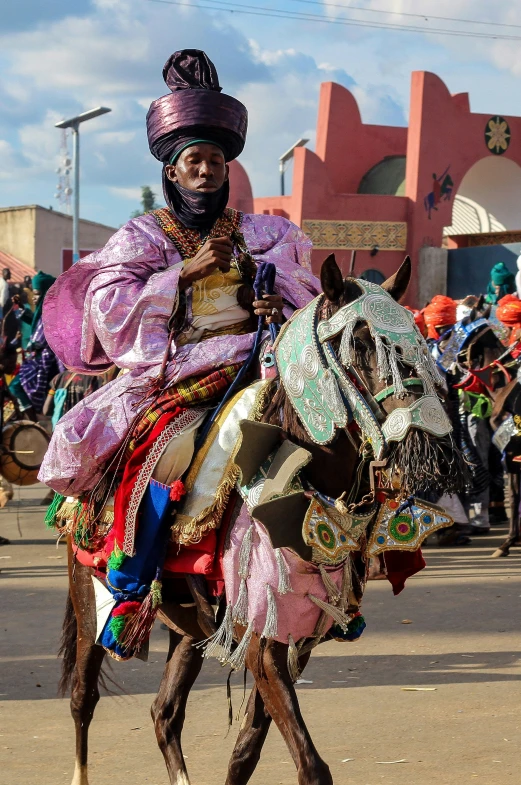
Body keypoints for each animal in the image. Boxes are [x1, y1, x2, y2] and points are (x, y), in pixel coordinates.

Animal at [57, 254, 464, 780]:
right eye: (356, 342)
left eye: (416, 339)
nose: (431, 442)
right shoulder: (263, 641)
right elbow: (311, 765)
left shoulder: (294, 640)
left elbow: (246, 750)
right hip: (89, 602)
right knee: (83, 702)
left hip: (188, 628)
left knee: (164, 712)